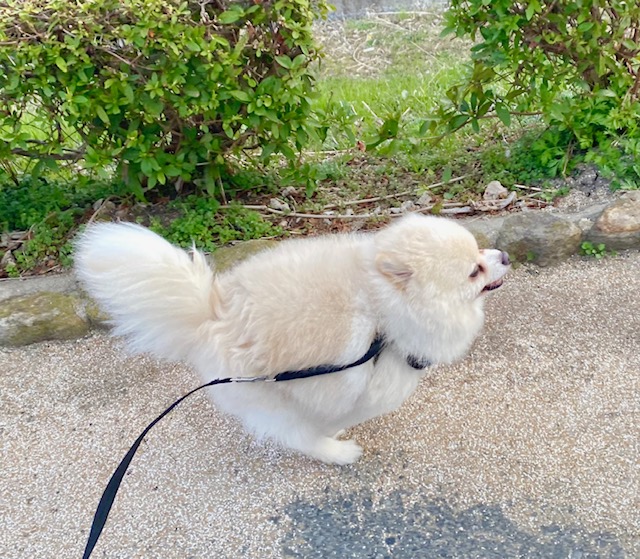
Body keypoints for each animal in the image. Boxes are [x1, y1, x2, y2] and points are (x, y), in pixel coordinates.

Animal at [75, 214, 510, 464]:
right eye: (473, 270)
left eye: (480, 250)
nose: (504, 256)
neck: (382, 310)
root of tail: (212, 314)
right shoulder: (363, 386)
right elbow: (343, 413)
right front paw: (334, 433)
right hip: (269, 395)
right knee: (296, 436)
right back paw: (339, 454)